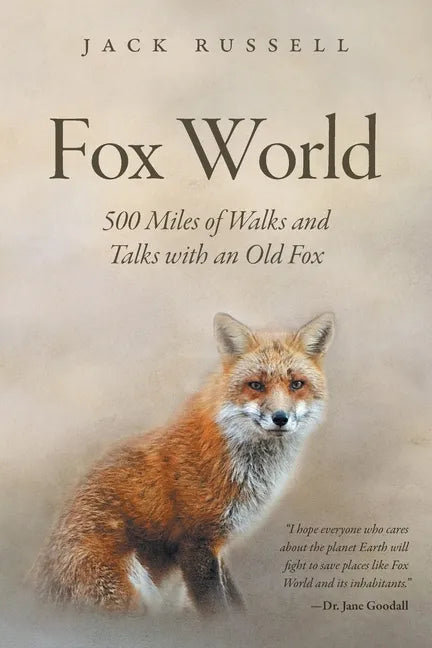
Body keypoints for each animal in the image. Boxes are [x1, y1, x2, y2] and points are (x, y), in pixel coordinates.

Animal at [32, 311, 335, 615]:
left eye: (296, 384)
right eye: (256, 385)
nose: (280, 418)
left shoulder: (218, 546)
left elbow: (234, 602)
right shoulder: (196, 541)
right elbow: (216, 609)